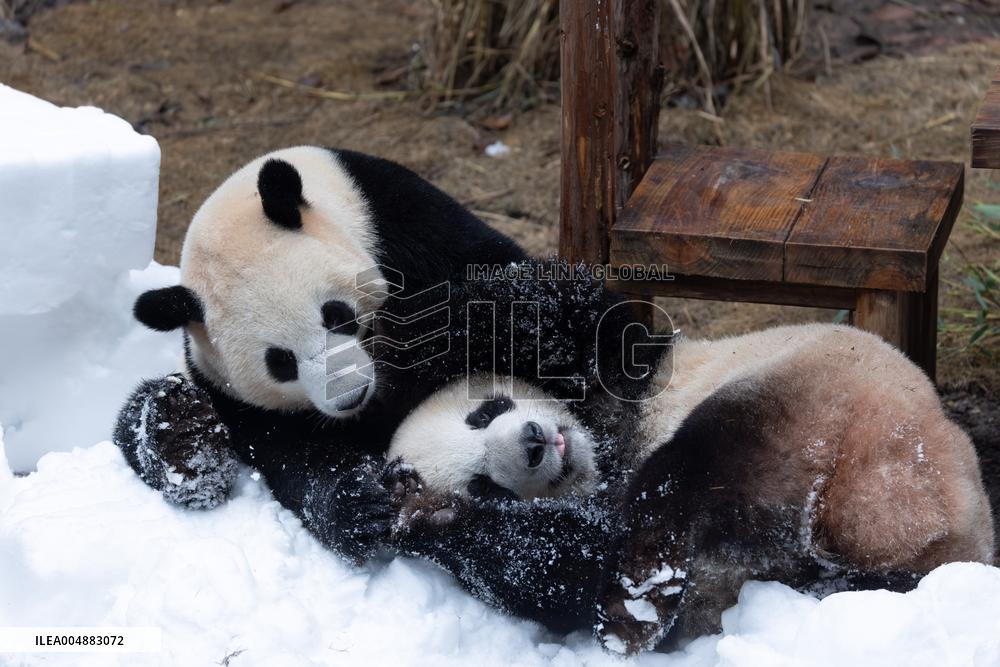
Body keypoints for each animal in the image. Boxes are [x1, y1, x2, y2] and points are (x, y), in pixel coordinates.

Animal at [385, 323, 995, 654]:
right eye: (487, 486)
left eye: (486, 412)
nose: (534, 442)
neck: (608, 447)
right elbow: (555, 567)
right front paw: (421, 512)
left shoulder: (626, 373)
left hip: (820, 394)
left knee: (695, 461)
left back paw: (631, 607)